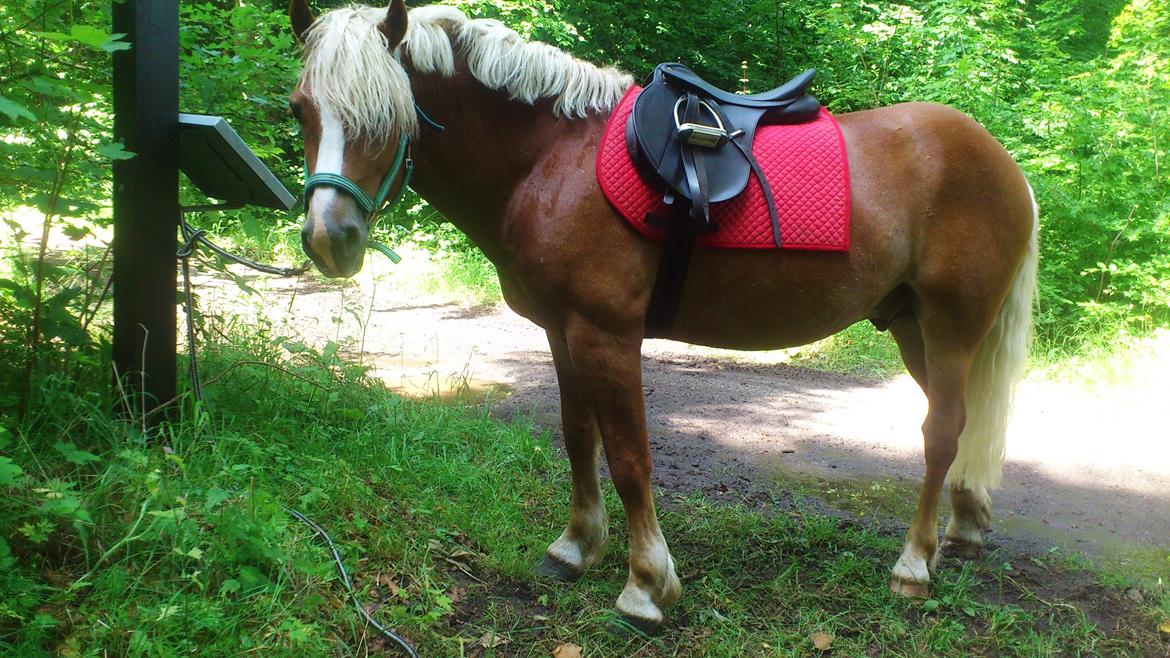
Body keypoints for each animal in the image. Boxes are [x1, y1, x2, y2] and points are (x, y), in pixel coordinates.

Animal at [287, 0, 1038, 632]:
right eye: (300, 110)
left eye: (388, 113)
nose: (330, 238)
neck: (554, 158)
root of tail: (1003, 164)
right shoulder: (561, 331)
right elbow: (577, 437)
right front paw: (574, 547)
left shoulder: (607, 335)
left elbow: (629, 457)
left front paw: (646, 586)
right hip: (915, 329)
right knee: (962, 423)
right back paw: (963, 528)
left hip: (951, 327)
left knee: (941, 431)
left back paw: (913, 565)